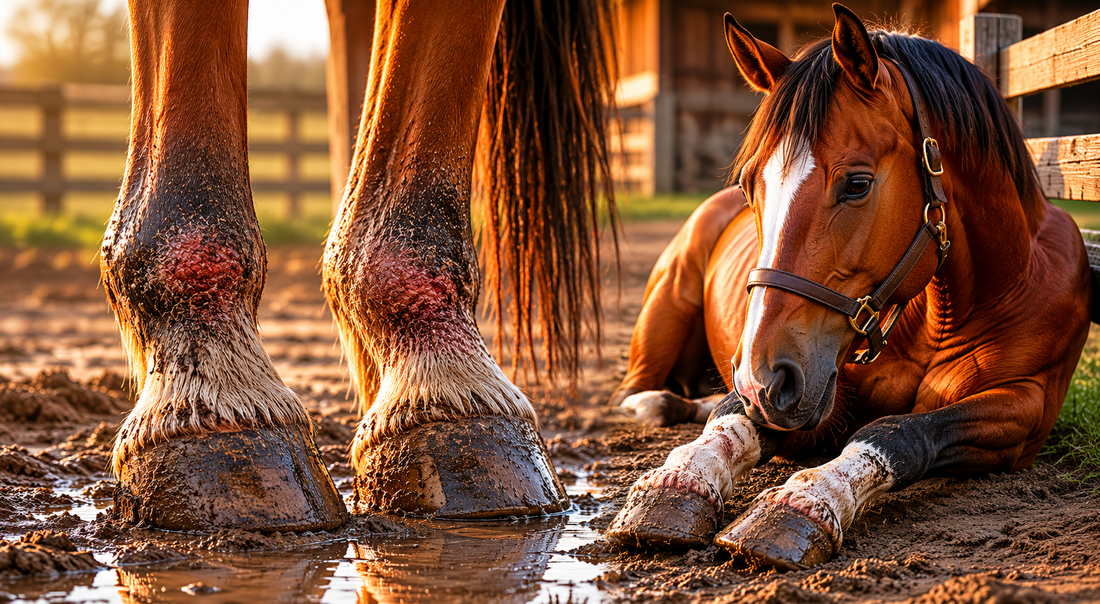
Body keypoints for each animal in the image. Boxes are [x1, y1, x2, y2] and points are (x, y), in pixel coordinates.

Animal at [605, 4, 1092, 570]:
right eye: (749, 183)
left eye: (857, 183)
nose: (761, 377)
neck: (952, 308)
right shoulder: (816, 392)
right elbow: (730, 423)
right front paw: (672, 483)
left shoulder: (1023, 408)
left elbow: (896, 433)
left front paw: (801, 504)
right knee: (638, 391)